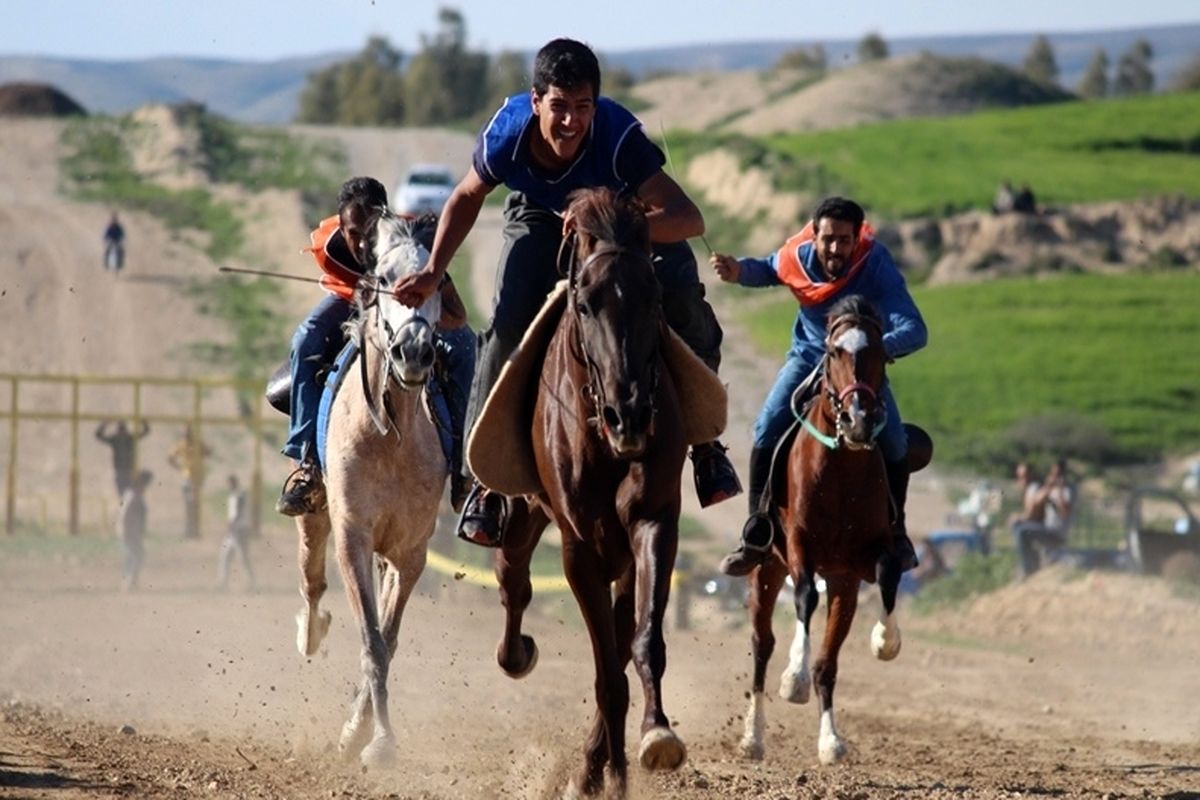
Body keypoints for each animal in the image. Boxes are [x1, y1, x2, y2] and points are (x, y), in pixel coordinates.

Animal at [290, 211, 446, 767]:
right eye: (383, 276)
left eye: (439, 280)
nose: (415, 351)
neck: (389, 438)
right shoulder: (353, 536)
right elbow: (372, 641)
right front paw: (378, 739)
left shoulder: (410, 551)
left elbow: (389, 640)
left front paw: (362, 734)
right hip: (315, 512)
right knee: (311, 578)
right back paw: (310, 631)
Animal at [484, 189, 696, 800]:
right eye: (584, 305)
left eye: (654, 298)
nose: (631, 415)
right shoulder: (581, 547)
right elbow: (606, 672)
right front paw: (607, 775)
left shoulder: (652, 524)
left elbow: (639, 644)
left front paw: (654, 737)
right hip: (524, 512)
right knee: (512, 580)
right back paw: (516, 654)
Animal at [734, 293, 921, 762]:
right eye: (834, 352)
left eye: (881, 353)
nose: (858, 420)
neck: (840, 469)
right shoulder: (799, 546)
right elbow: (803, 597)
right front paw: (793, 679)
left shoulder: (862, 561)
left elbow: (889, 576)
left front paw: (885, 641)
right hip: (765, 570)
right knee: (762, 646)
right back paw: (753, 736)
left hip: (842, 584)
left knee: (827, 661)